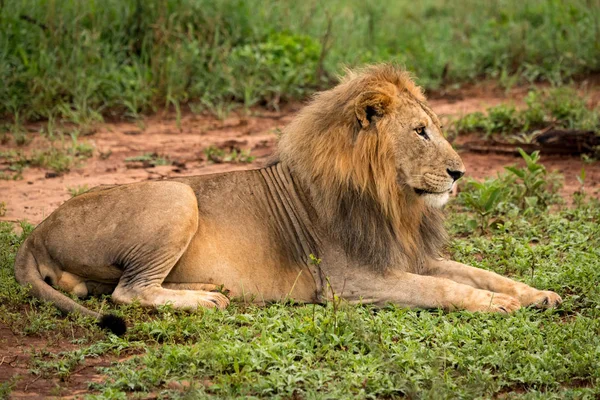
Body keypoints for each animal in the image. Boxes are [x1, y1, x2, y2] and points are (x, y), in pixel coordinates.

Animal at [14, 65, 564, 334]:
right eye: (420, 131)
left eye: (435, 129)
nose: (459, 173)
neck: (396, 203)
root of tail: (35, 231)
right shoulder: (353, 283)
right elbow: (445, 289)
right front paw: (498, 306)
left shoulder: (410, 257)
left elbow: (480, 273)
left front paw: (538, 295)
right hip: (176, 193)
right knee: (127, 293)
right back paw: (206, 299)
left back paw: (212, 289)